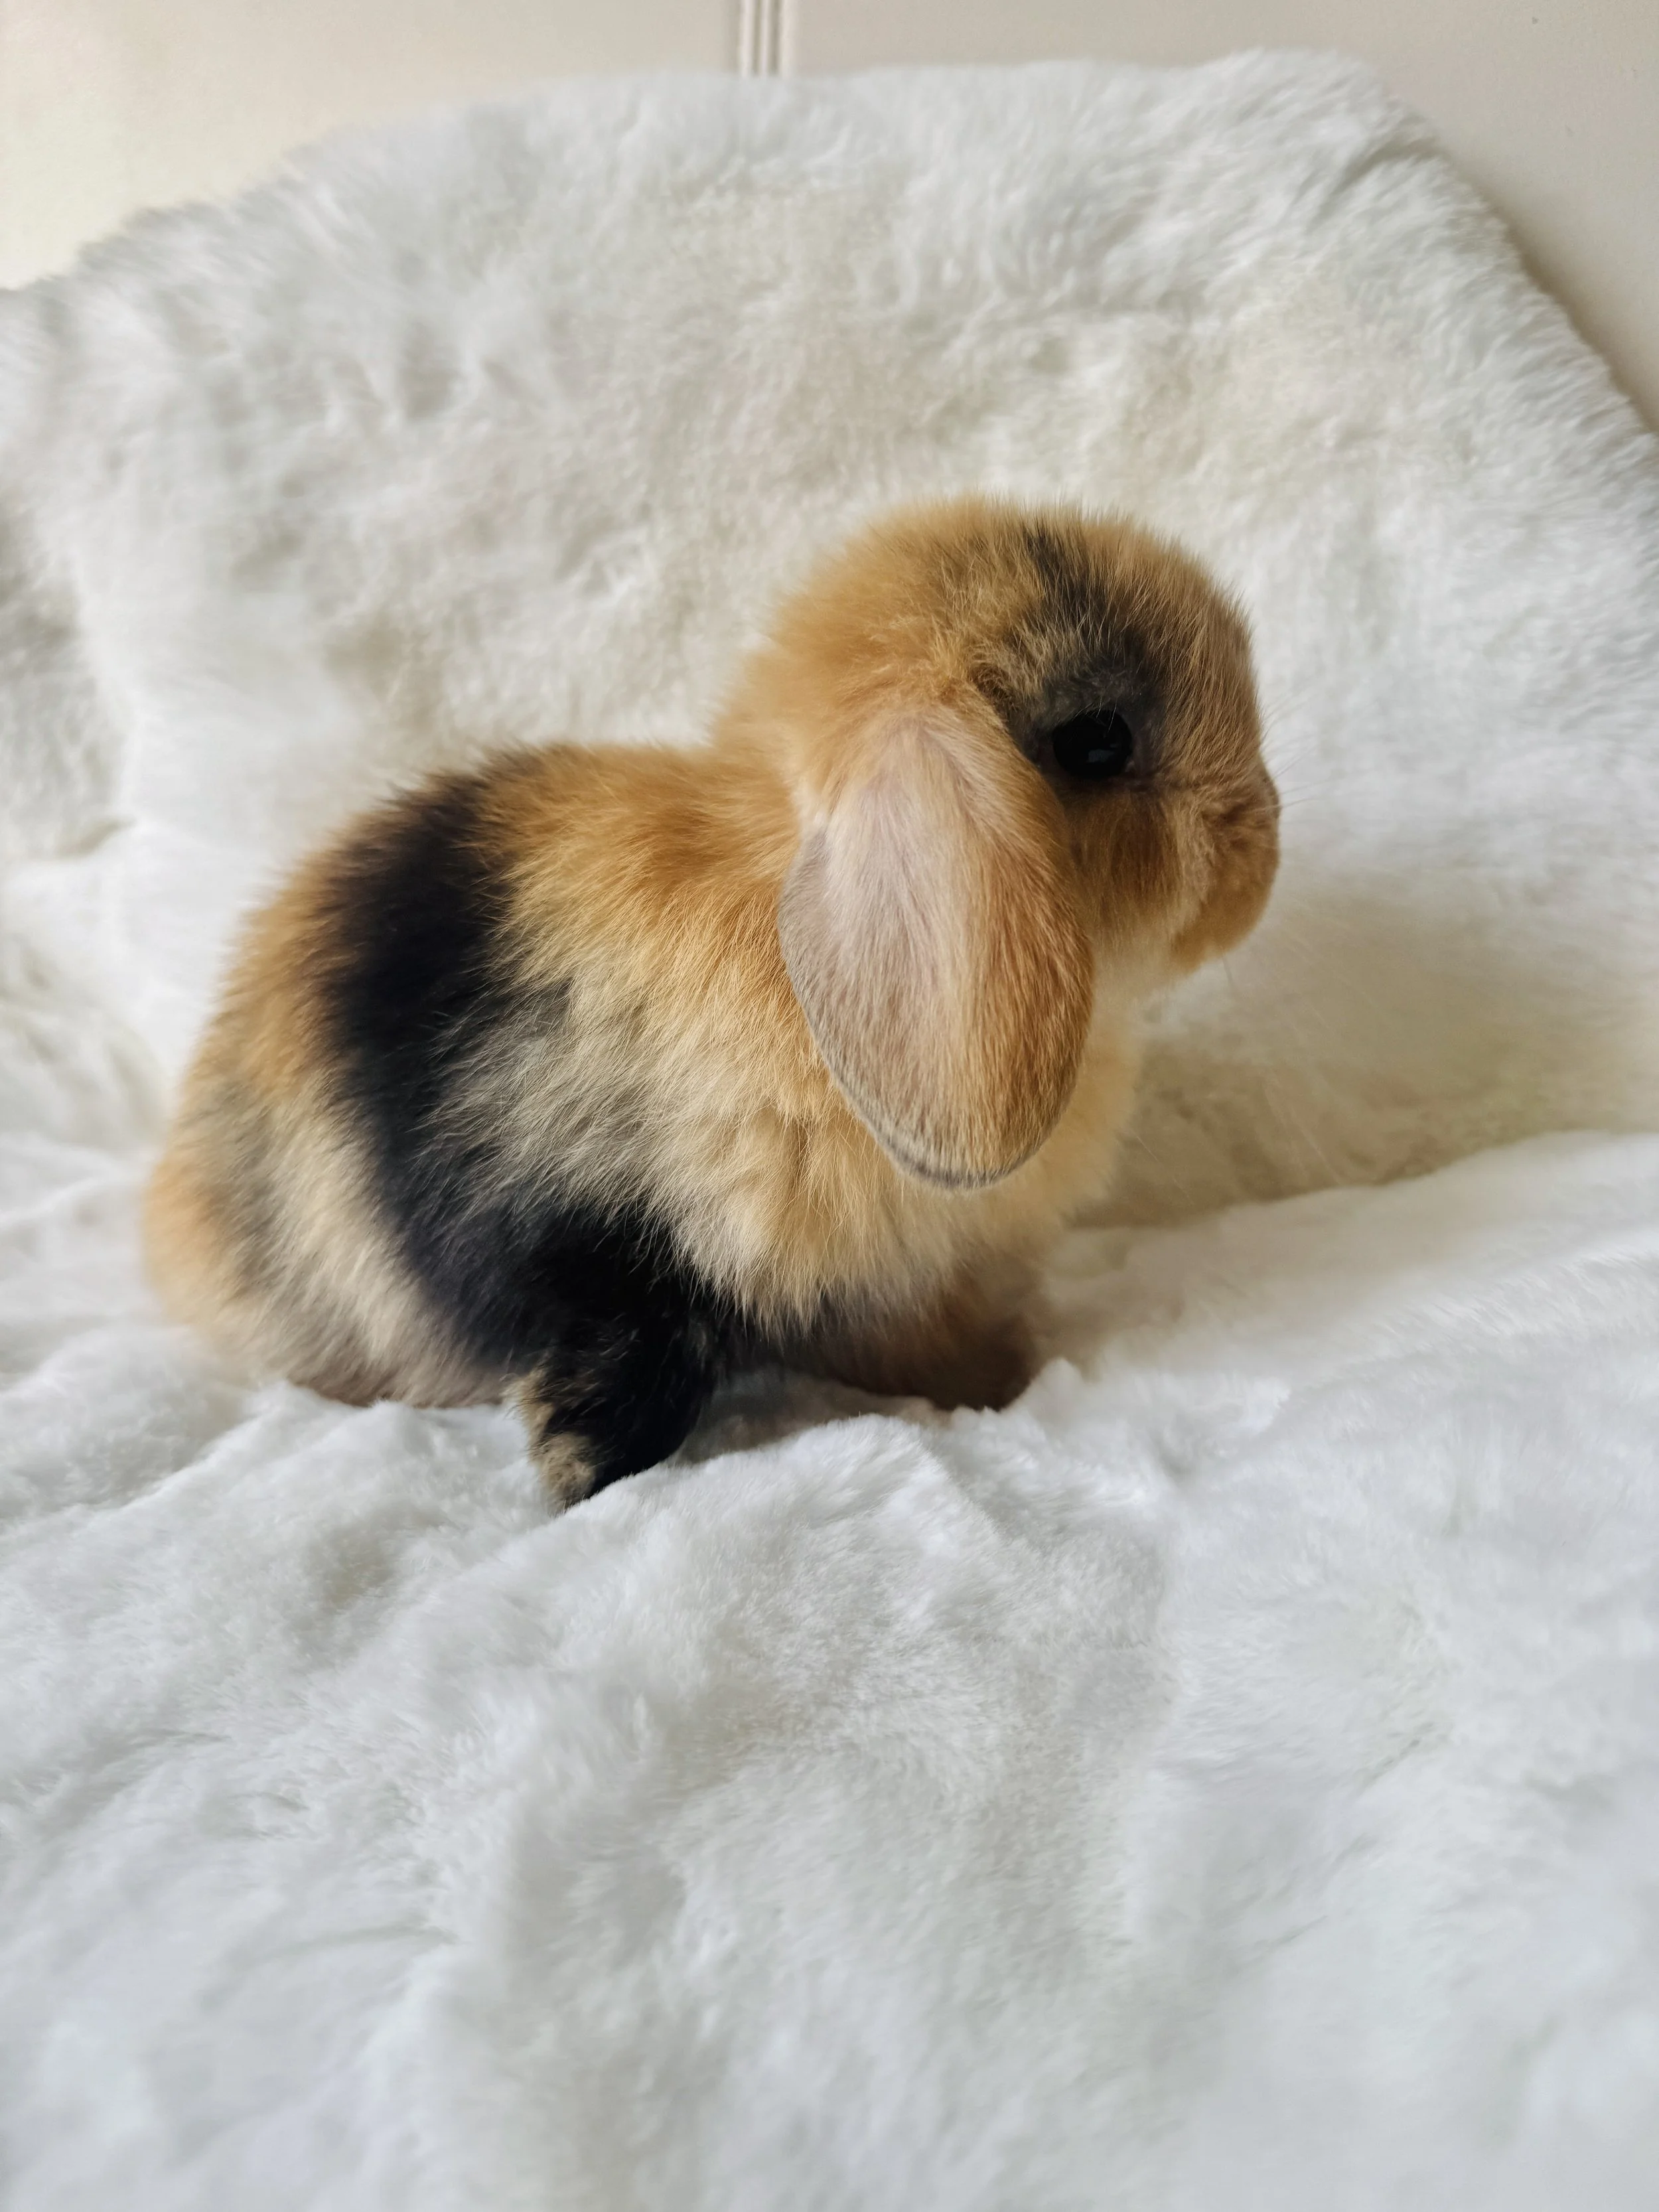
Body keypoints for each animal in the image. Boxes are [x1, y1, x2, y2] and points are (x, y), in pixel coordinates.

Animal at [145, 496, 1278, 1506]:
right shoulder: (597, 1234)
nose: (1261, 846)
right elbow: (637, 1346)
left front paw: (995, 1385)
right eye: (1096, 743)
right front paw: (580, 1469)